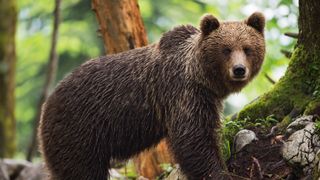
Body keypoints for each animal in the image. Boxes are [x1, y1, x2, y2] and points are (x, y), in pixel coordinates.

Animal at [38, 11, 266, 179]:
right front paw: (220, 172)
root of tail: (47, 103)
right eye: (226, 49)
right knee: (80, 170)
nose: (239, 70)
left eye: (247, 48)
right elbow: (193, 138)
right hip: (79, 131)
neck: (201, 77)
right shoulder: (184, 93)